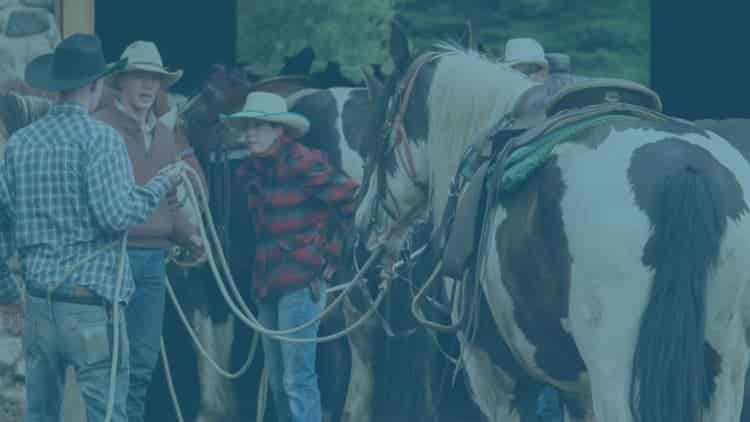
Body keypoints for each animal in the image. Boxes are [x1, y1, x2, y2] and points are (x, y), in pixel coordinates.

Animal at [356, 23, 750, 422]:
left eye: (377, 136)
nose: (362, 224)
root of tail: (687, 167)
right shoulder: (577, 389)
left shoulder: (493, 375)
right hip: (725, 370)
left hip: (615, 371)